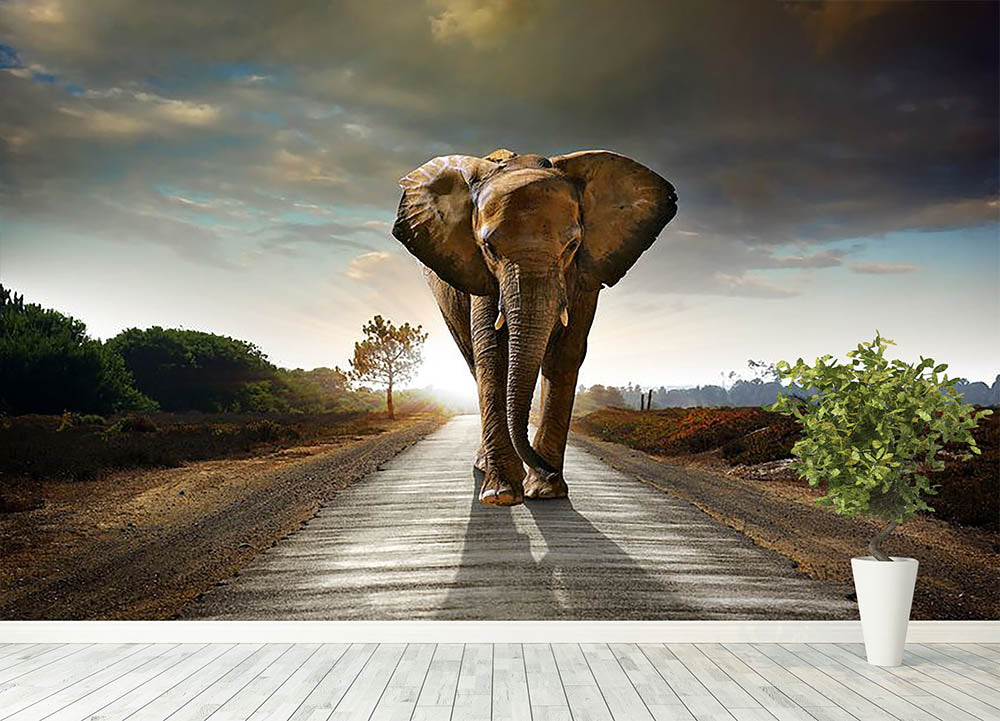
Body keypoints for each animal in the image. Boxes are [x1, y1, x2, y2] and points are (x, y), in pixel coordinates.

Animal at [391, 148, 677, 506]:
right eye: (489, 248)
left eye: (572, 246)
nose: (548, 470)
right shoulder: (480, 274)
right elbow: (493, 354)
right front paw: (501, 495)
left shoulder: (585, 274)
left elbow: (565, 353)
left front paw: (545, 491)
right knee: (473, 361)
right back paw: (486, 468)